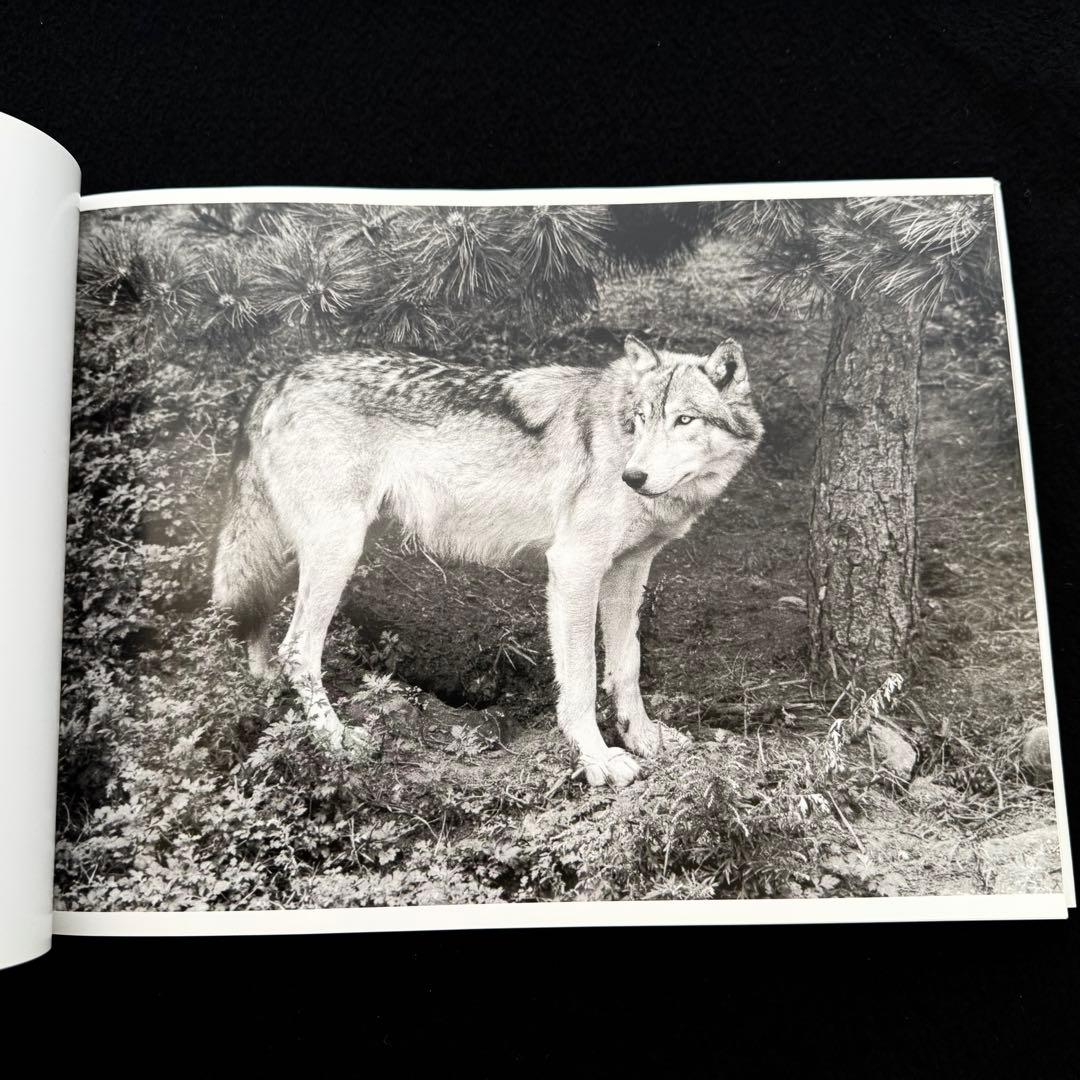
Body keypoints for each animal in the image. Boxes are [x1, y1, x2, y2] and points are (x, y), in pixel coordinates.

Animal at [212, 334, 762, 787]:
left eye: (684, 419)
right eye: (642, 419)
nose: (634, 476)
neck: (618, 439)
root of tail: (277, 379)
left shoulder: (630, 569)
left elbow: (626, 663)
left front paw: (644, 738)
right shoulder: (574, 567)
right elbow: (582, 679)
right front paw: (598, 761)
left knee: (265, 634)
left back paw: (267, 697)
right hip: (338, 550)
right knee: (297, 650)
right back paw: (336, 742)